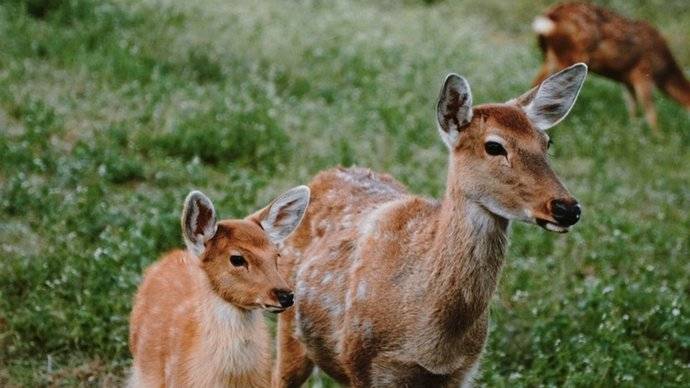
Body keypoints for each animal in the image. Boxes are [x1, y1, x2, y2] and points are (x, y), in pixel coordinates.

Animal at [272, 63, 584, 384]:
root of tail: (325, 174)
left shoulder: (463, 370)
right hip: (290, 328)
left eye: (547, 142)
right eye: (494, 146)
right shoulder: (360, 361)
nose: (567, 208)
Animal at [532, 1, 688, 132]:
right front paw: (657, 136)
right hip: (569, 56)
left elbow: (632, 106)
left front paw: (634, 130)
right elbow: (650, 110)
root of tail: (549, 18)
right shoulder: (643, 71)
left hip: (551, 57)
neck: (664, 71)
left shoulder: (627, 79)